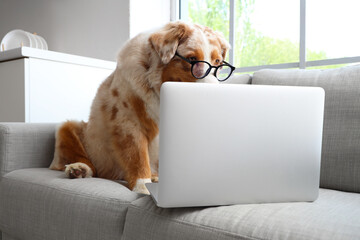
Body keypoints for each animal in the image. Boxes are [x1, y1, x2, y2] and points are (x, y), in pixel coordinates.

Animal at [48, 21, 231, 194]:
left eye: (218, 62)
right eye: (192, 59)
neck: (158, 88)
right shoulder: (128, 122)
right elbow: (137, 157)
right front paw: (143, 187)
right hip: (68, 128)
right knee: (83, 161)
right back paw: (79, 169)